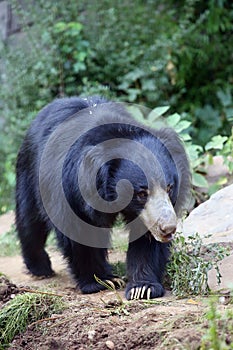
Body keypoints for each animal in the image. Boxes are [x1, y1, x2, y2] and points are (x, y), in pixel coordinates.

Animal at [15, 97, 191, 300]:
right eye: (141, 193)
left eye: (169, 187)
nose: (168, 229)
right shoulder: (70, 189)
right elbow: (78, 230)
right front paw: (102, 281)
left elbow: (146, 239)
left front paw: (142, 287)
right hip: (29, 172)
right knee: (30, 220)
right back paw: (40, 268)